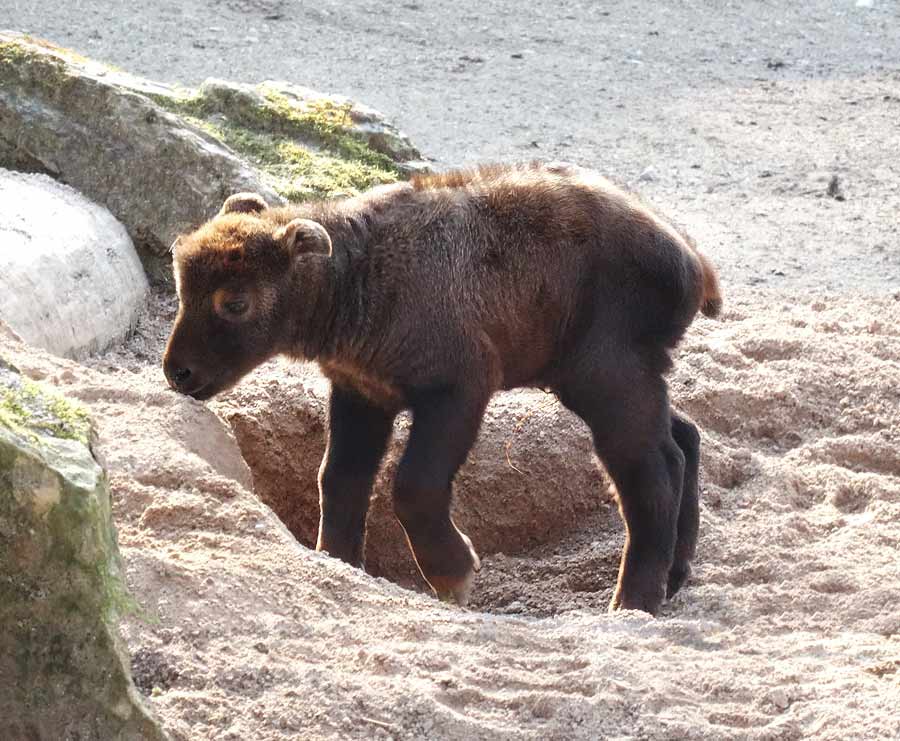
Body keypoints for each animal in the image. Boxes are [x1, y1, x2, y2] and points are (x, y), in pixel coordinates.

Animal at [163, 160, 724, 612]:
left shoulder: (459, 388)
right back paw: (675, 577)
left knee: (650, 472)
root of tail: (692, 260)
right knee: (682, 439)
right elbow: (339, 478)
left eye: (235, 302)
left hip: (607, 377)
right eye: (181, 289)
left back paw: (633, 602)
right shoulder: (362, 393)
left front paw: (454, 574)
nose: (177, 372)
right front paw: (338, 561)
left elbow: (413, 484)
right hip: (616, 379)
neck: (359, 274)